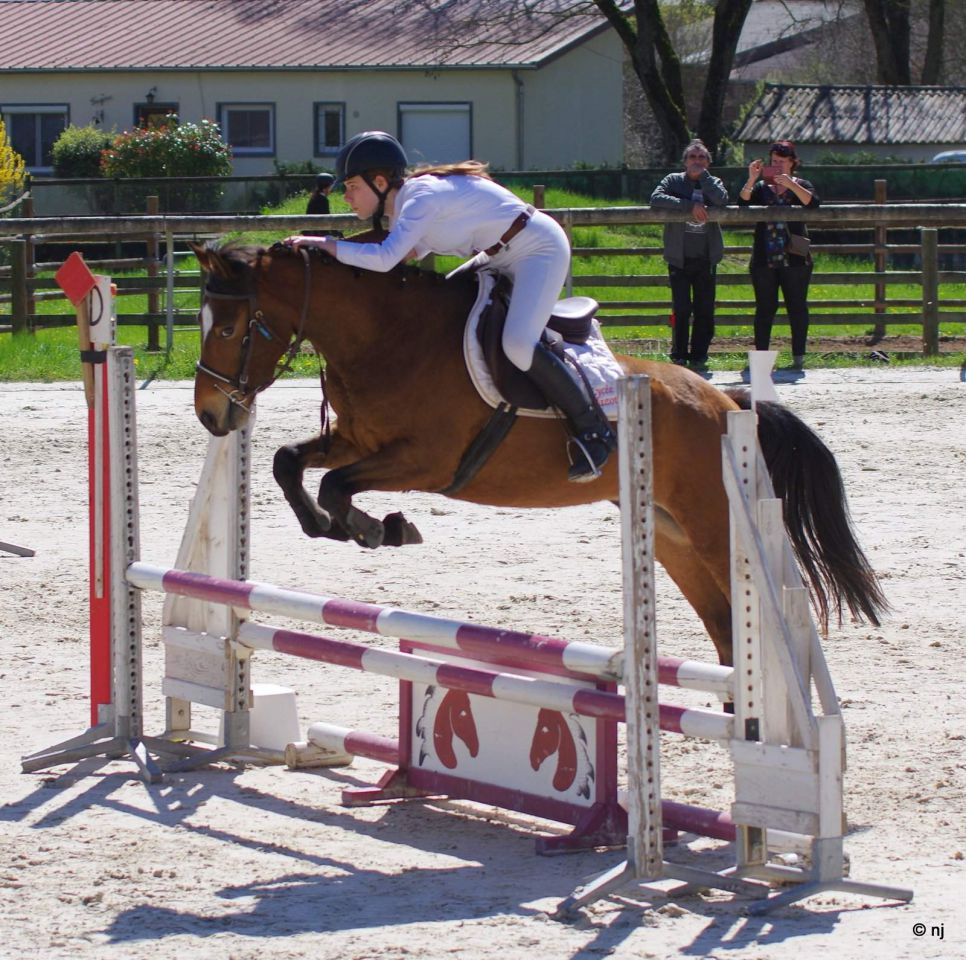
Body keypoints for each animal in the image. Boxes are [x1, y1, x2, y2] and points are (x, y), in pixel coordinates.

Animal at [189, 240, 887, 668]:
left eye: (229, 327)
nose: (211, 414)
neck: (386, 335)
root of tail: (727, 400)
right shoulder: (359, 441)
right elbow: (287, 461)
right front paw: (334, 527)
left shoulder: (427, 461)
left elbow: (336, 484)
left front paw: (379, 527)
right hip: (673, 535)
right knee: (723, 630)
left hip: (715, 525)